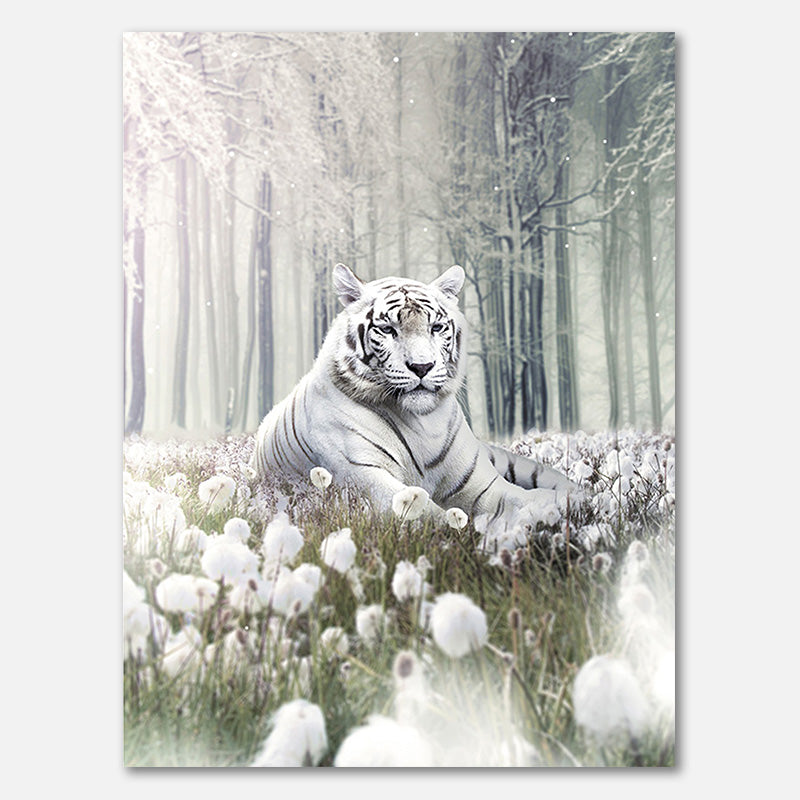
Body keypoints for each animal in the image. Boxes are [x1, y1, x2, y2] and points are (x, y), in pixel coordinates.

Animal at [251, 263, 583, 527]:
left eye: (436, 327)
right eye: (387, 329)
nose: (422, 366)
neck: (423, 423)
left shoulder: (481, 483)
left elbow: (518, 497)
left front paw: (556, 508)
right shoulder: (364, 477)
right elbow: (427, 510)